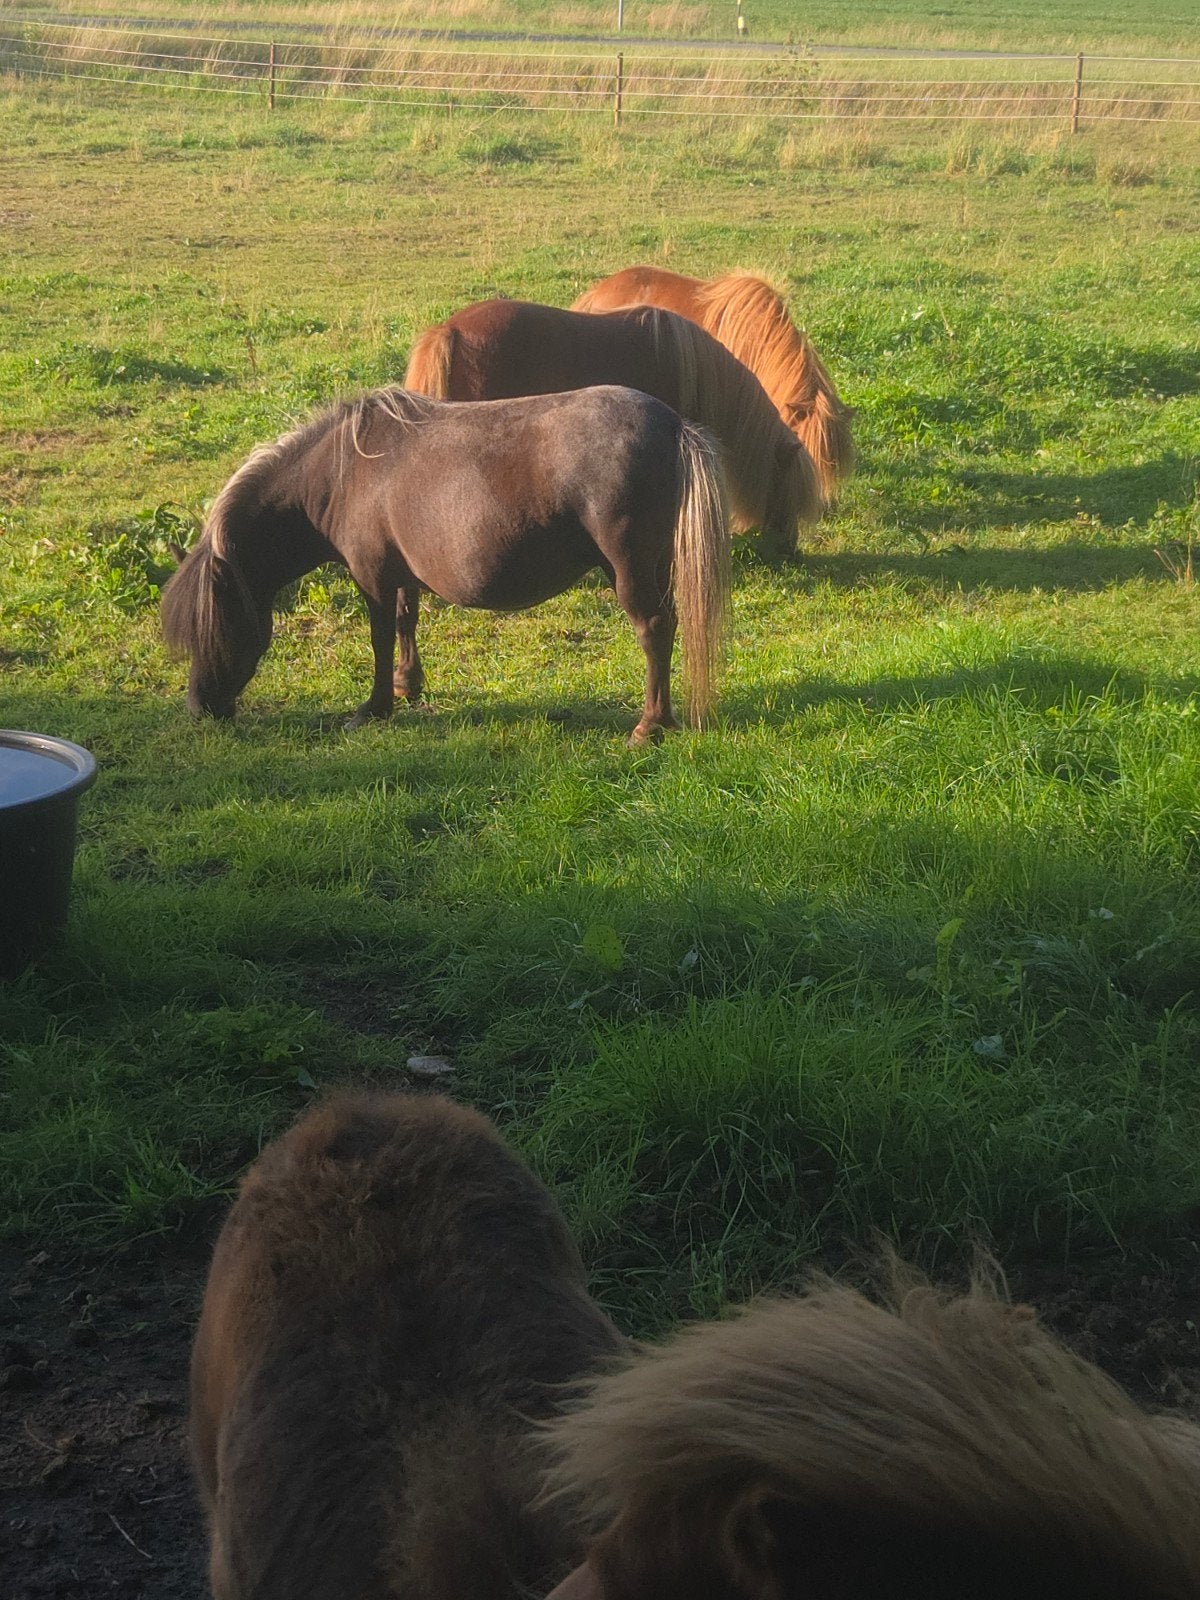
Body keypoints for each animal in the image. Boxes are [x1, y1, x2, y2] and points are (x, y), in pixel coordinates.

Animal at [161, 385, 730, 744]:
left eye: (215, 624)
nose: (200, 707)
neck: (342, 473)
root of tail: (673, 425)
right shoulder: (402, 576)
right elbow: (406, 624)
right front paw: (407, 686)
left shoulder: (372, 577)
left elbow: (380, 638)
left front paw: (374, 708)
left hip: (629, 568)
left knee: (653, 629)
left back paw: (649, 726)